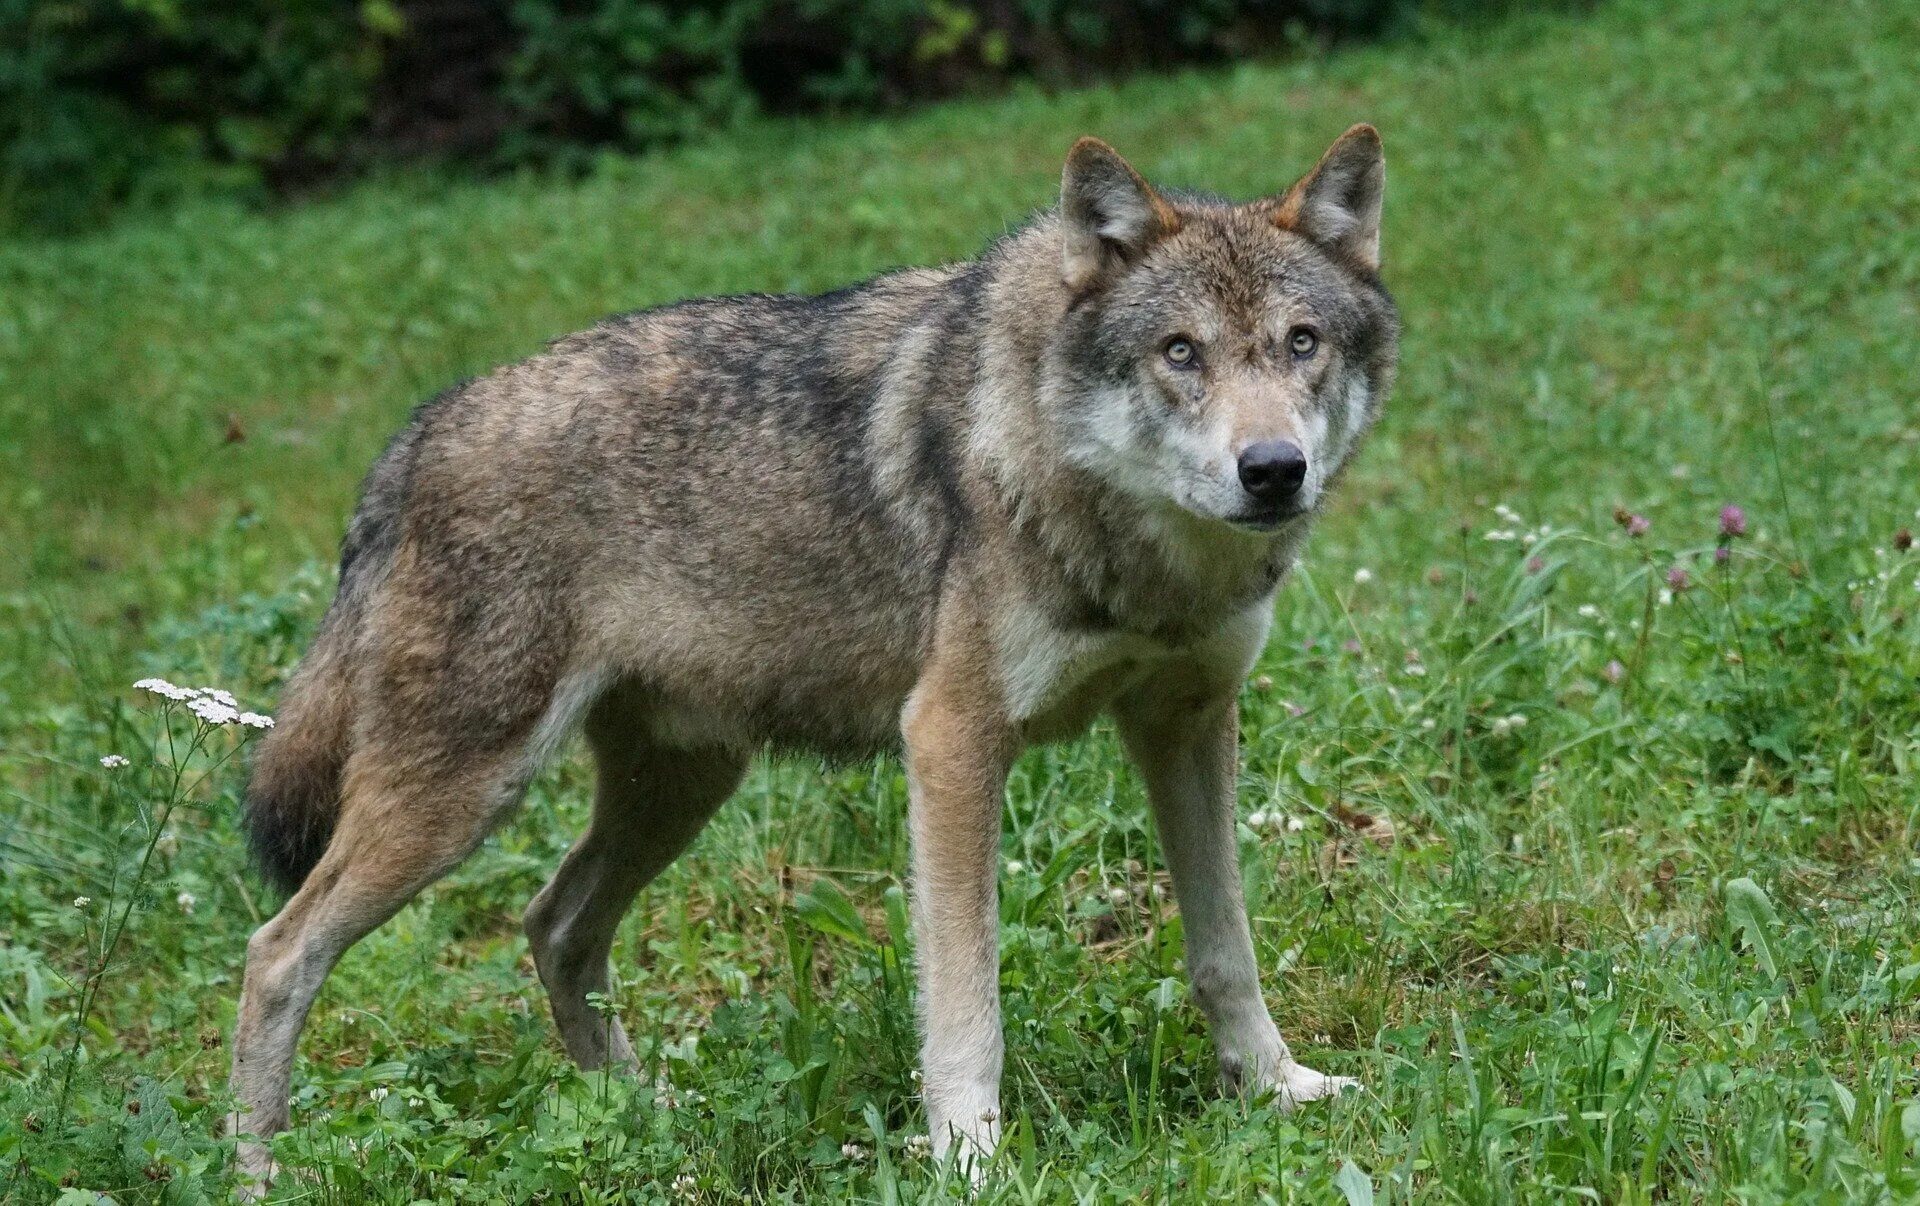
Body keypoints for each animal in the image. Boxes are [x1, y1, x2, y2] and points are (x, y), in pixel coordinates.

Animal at [228, 124, 1397, 1190]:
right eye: (1180, 352)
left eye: (1301, 342)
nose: (1273, 469)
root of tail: (414, 436)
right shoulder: (953, 744)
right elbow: (965, 1002)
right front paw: (970, 1159)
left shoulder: (1187, 723)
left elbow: (1225, 951)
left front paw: (1279, 1089)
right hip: (461, 803)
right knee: (276, 954)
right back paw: (256, 1172)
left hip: (677, 787)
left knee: (554, 924)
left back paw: (642, 1117)